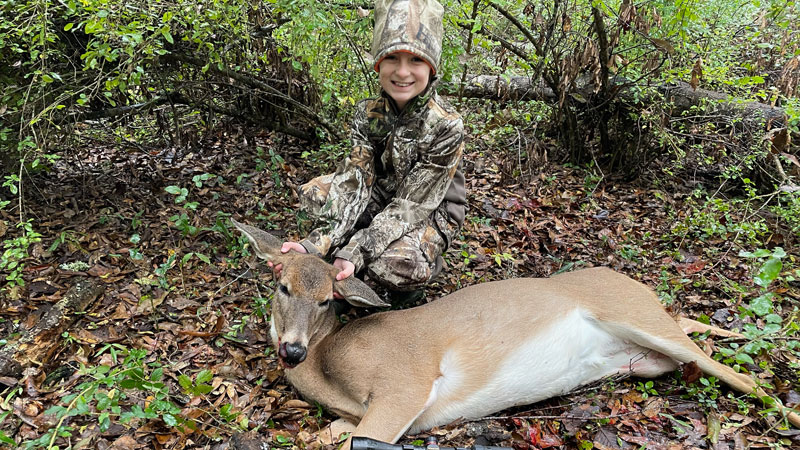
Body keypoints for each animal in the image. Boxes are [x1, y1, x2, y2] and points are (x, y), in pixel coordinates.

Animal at [231, 219, 800, 446]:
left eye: (328, 299)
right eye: (281, 285)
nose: (292, 350)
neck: (329, 366)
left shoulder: (404, 382)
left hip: (634, 316)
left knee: (739, 376)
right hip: (644, 359)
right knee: (688, 330)